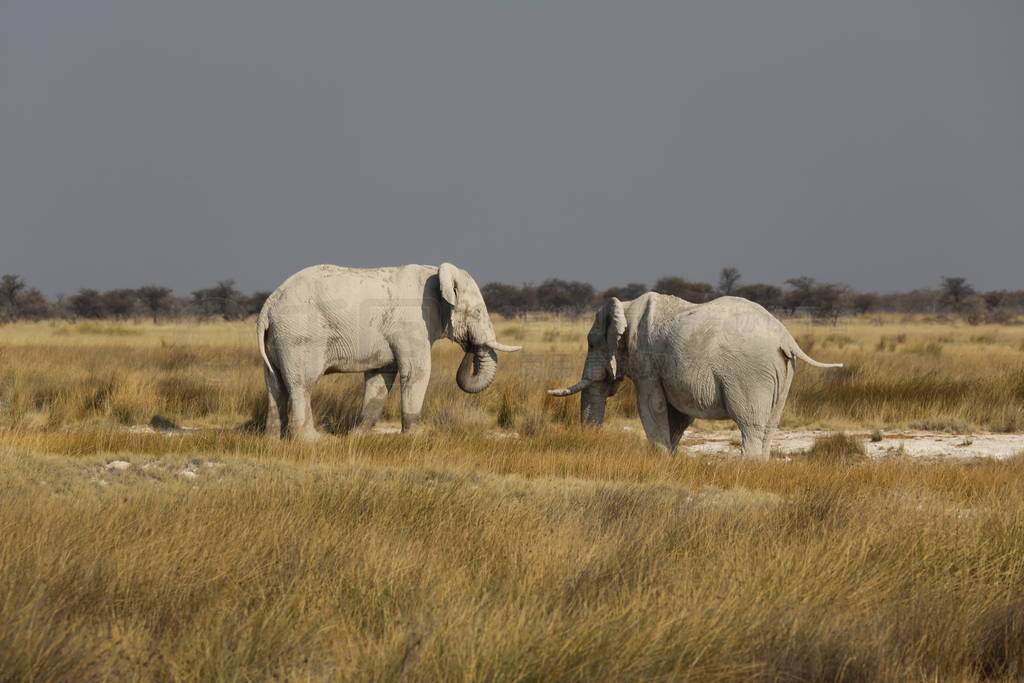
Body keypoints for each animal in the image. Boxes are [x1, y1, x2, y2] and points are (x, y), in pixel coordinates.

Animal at [256, 262, 520, 444]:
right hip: (300, 336)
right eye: (477, 312)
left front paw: (358, 435)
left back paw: (272, 441)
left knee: (275, 384)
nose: (469, 345)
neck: (436, 272)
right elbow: (417, 372)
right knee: (303, 384)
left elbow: (380, 377)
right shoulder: (413, 324)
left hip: (279, 338)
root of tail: (269, 304)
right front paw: (417, 437)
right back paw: (314, 441)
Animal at [548, 294, 843, 458]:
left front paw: (660, 458)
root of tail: (785, 337)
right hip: (784, 370)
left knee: (749, 424)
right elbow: (676, 414)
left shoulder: (646, 359)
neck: (626, 306)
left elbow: (652, 406)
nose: (591, 441)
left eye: (591, 343)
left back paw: (748, 467)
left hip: (750, 374)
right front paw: (670, 457)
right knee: (770, 425)